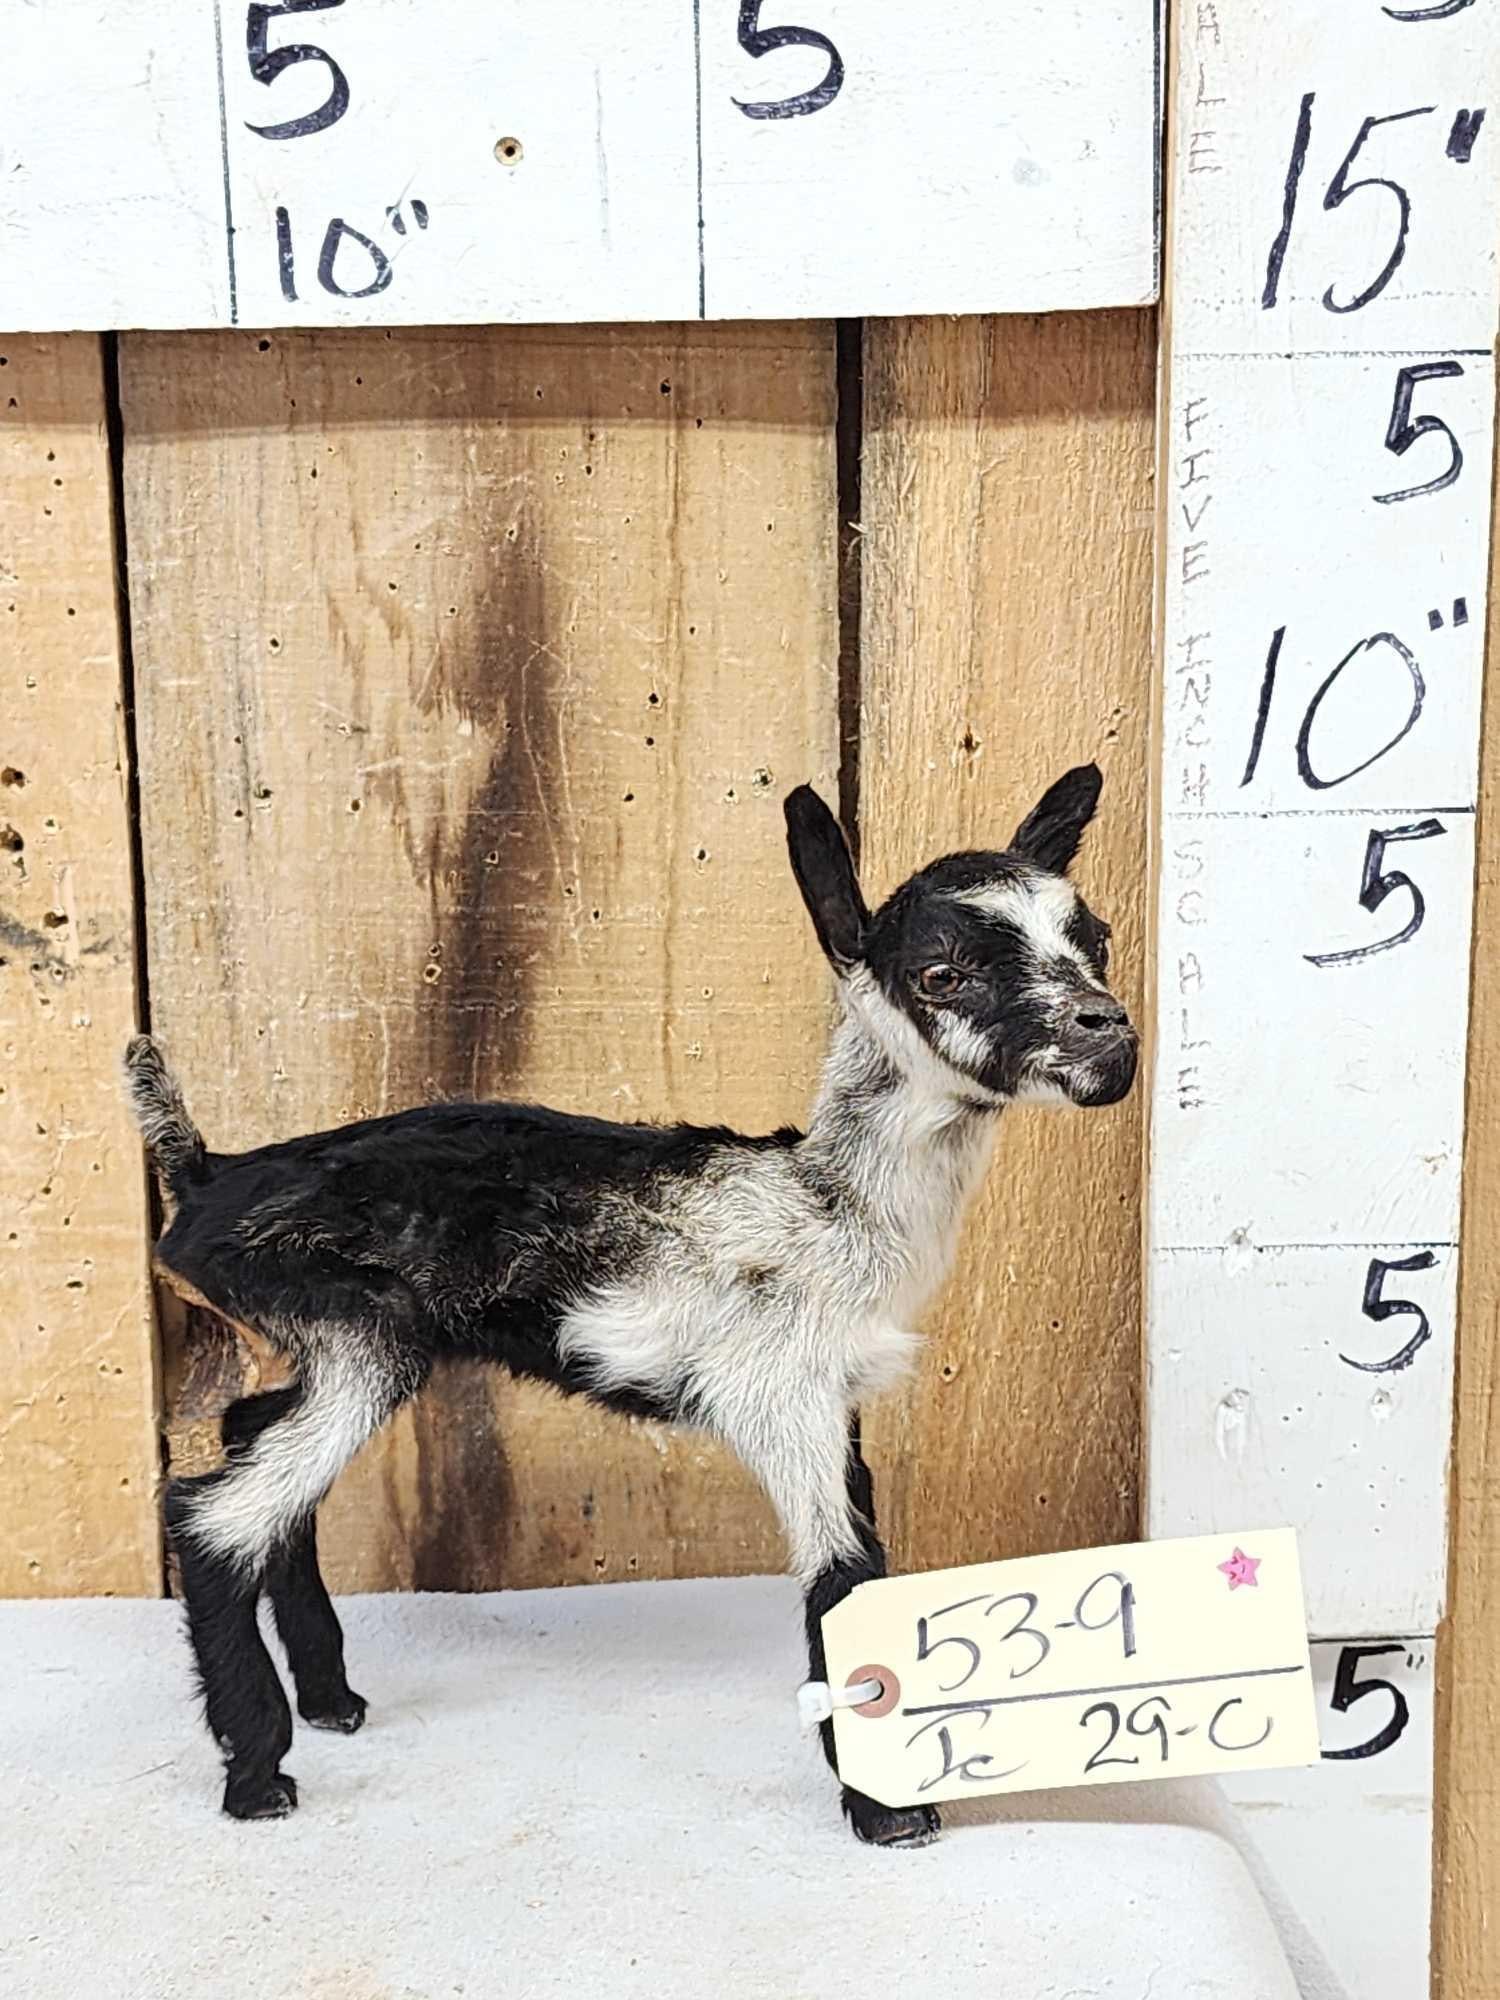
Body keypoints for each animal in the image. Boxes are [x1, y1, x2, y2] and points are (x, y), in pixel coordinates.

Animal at [125, 768, 1136, 1847]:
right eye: (943, 973)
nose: (1108, 1030)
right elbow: (842, 1576)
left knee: (251, 1437)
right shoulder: (779, 1393)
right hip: (360, 1328)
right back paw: (259, 1774)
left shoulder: (835, 1406)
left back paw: (330, 1697)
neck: (831, 1205)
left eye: (1098, 938)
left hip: (331, 1338)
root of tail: (208, 1178)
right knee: (214, 1516)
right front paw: (891, 1815)